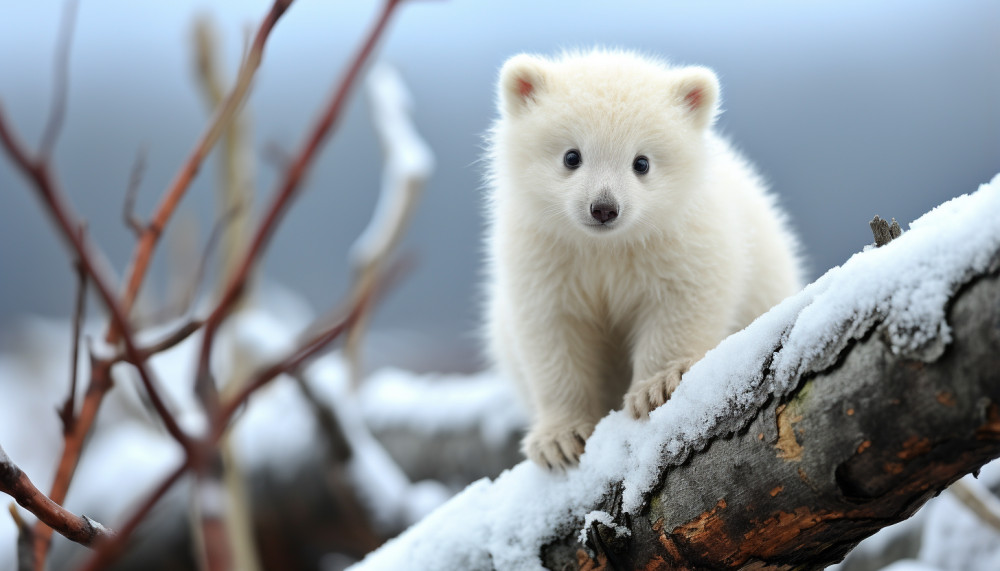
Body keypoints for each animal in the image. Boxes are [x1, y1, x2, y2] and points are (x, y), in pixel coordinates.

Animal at [482, 49, 804, 471]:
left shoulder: (682, 240)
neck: (606, 248)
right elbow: (553, 337)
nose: (604, 208)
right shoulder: (546, 258)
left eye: (642, 162)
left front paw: (655, 388)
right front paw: (559, 440)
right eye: (571, 156)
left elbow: (680, 304)